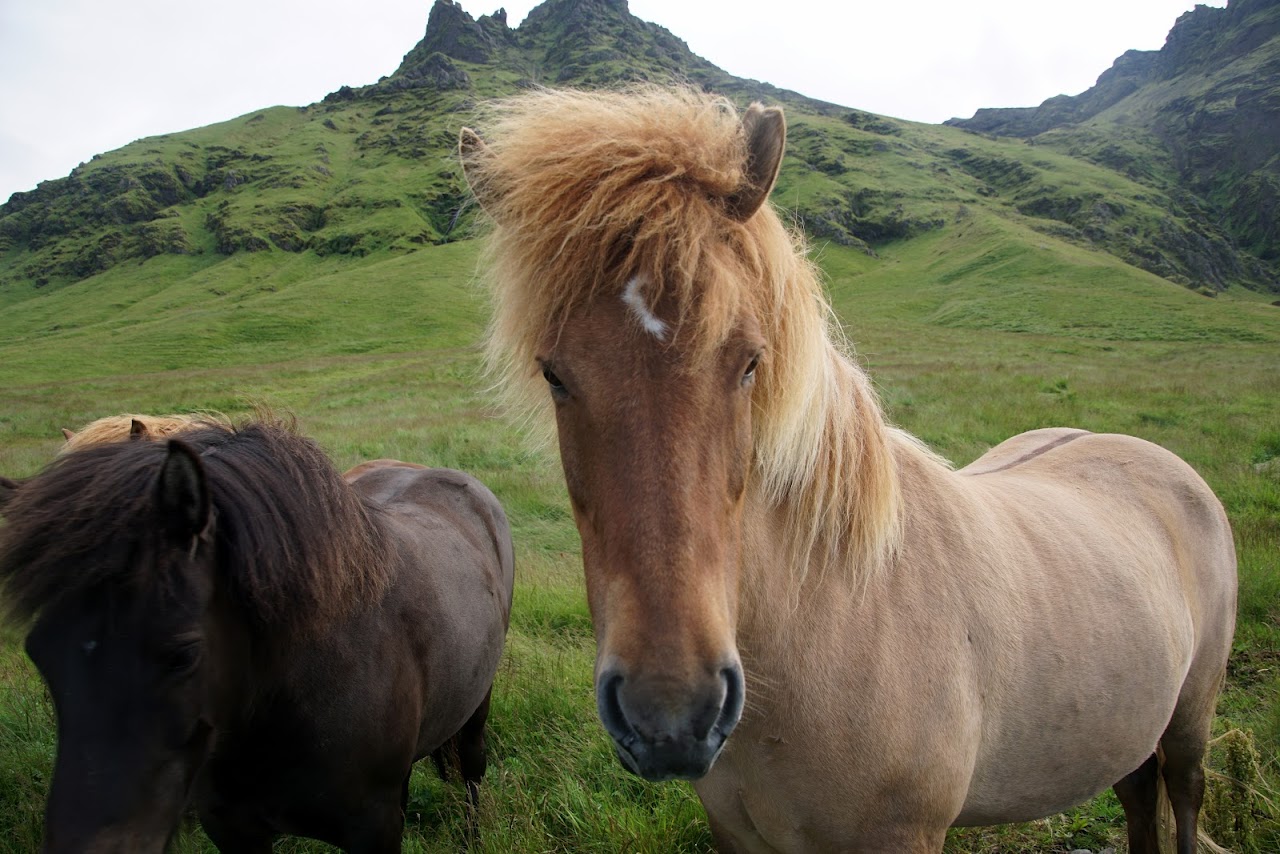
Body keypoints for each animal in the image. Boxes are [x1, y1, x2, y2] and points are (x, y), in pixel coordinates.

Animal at [1, 419, 509, 854]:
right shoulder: (232, 827)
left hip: (475, 708)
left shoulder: (374, 829)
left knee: (471, 771)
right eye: (38, 650)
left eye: (183, 653)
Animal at [458, 88, 1228, 854]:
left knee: (1183, 795)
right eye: (554, 373)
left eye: (749, 362)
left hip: (1189, 723)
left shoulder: (903, 835)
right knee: (1138, 799)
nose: (670, 716)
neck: (828, 620)